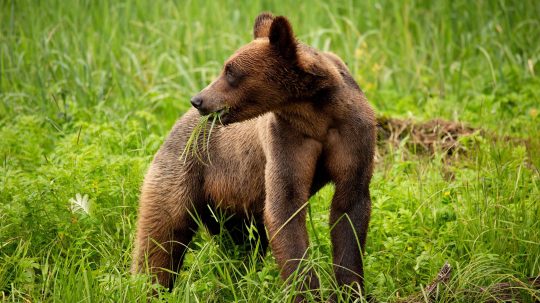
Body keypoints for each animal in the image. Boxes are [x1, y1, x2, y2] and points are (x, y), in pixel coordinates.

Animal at [132, 11, 376, 302]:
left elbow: (349, 207)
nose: (199, 100)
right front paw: (306, 290)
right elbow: (285, 205)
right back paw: (149, 287)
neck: (316, 114)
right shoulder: (286, 139)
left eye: (230, 71)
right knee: (162, 237)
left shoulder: (352, 134)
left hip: (232, 203)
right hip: (186, 173)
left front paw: (351, 290)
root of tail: (174, 126)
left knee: (239, 246)